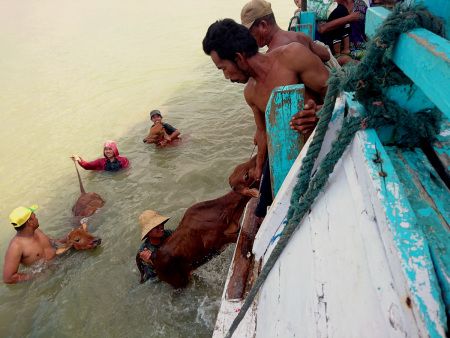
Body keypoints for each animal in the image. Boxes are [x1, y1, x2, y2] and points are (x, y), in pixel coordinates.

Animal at [150, 155, 258, 288]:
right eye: (246, 176)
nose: (257, 157)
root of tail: (154, 257)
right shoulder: (211, 241)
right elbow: (238, 237)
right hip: (179, 282)